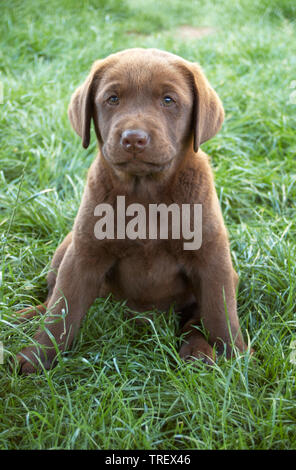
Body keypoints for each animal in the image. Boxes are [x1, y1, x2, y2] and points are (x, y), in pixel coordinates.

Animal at [16, 48, 250, 374]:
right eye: (113, 98)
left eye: (168, 100)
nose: (134, 139)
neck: (146, 195)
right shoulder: (84, 253)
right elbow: (62, 311)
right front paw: (36, 358)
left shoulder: (212, 255)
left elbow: (220, 312)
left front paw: (235, 359)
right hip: (67, 246)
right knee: (50, 298)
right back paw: (23, 316)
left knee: (195, 318)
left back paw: (198, 352)